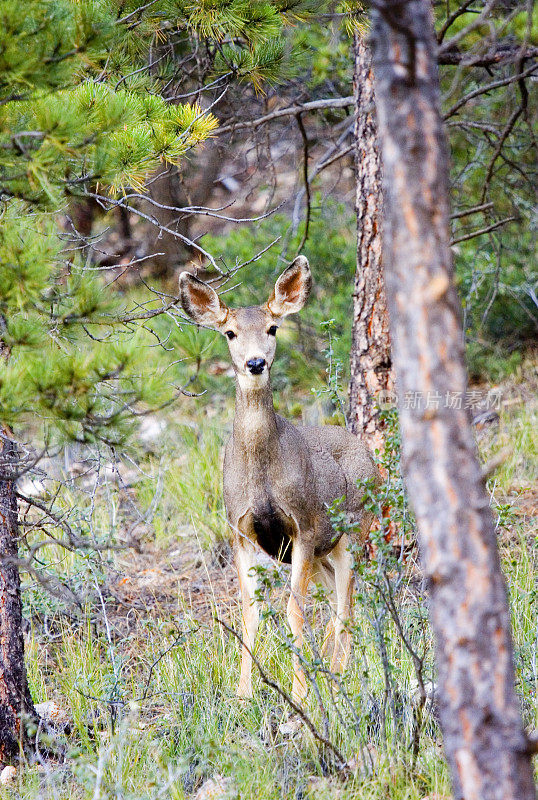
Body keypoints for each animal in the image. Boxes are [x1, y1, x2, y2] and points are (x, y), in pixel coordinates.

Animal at [179, 256, 376, 700]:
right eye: (230, 332)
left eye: (272, 328)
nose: (255, 363)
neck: (262, 477)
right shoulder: (241, 529)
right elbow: (250, 611)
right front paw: (243, 693)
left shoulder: (303, 524)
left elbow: (293, 610)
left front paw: (301, 693)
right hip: (324, 552)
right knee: (338, 602)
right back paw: (331, 669)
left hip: (353, 530)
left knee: (346, 606)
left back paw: (337, 676)